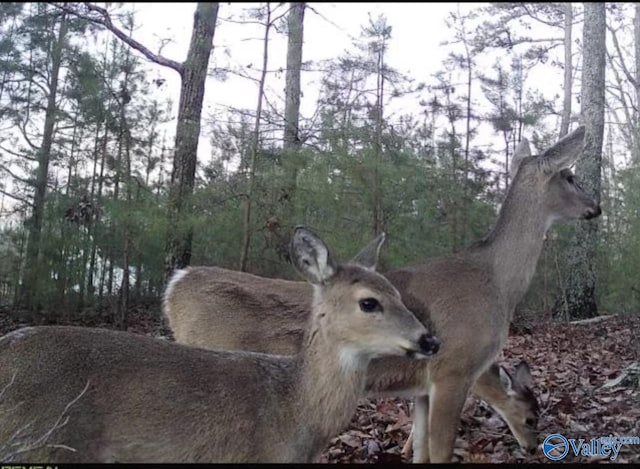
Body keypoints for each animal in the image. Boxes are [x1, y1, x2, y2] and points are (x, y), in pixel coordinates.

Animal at [164, 126, 600, 462]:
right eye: (570, 176)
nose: (596, 207)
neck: (496, 281)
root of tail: (174, 287)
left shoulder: (423, 386)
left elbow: (420, 450)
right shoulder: (454, 369)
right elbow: (440, 452)